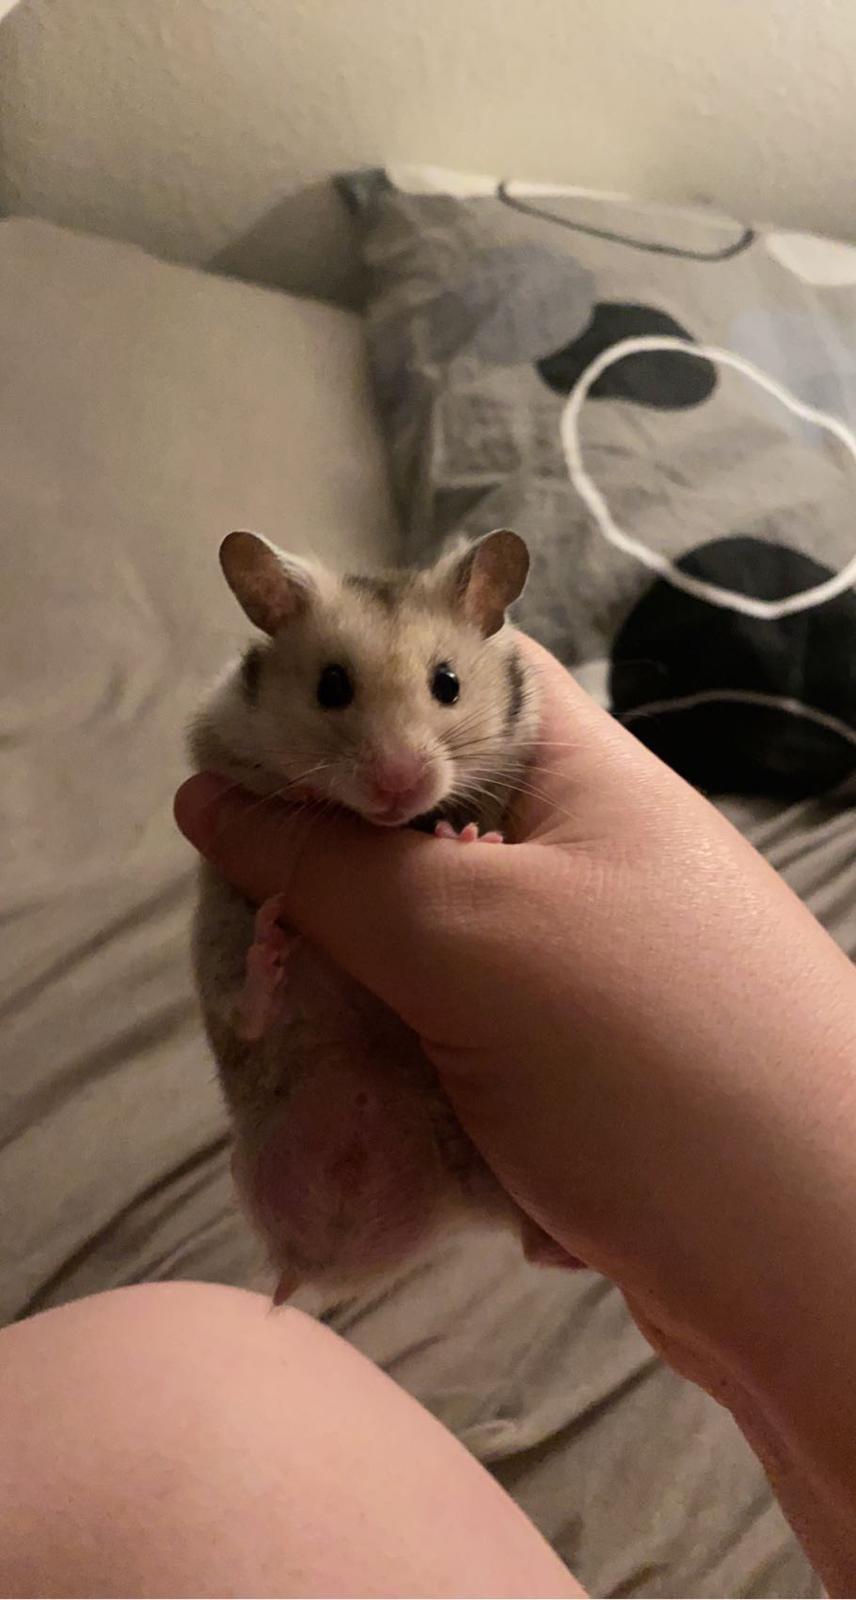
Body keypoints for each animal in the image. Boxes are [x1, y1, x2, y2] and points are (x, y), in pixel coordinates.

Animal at [189, 526, 577, 1302]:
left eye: (448, 683)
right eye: (331, 686)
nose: (399, 786)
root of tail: (313, 1258)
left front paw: (470, 838)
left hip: (486, 1165)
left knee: (532, 1243)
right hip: (218, 950)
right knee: (244, 1010)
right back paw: (268, 951)